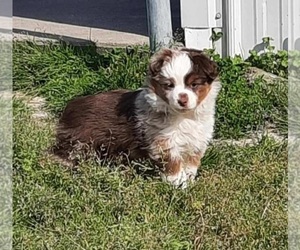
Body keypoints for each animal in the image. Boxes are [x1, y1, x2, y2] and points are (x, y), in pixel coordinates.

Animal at [52, 47, 220, 188]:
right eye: (169, 85)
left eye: (194, 84)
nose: (182, 99)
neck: (184, 116)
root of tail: (70, 106)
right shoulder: (163, 142)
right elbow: (173, 165)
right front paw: (179, 186)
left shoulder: (197, 141)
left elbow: (191, 164)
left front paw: (189, 182)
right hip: (80, 143)